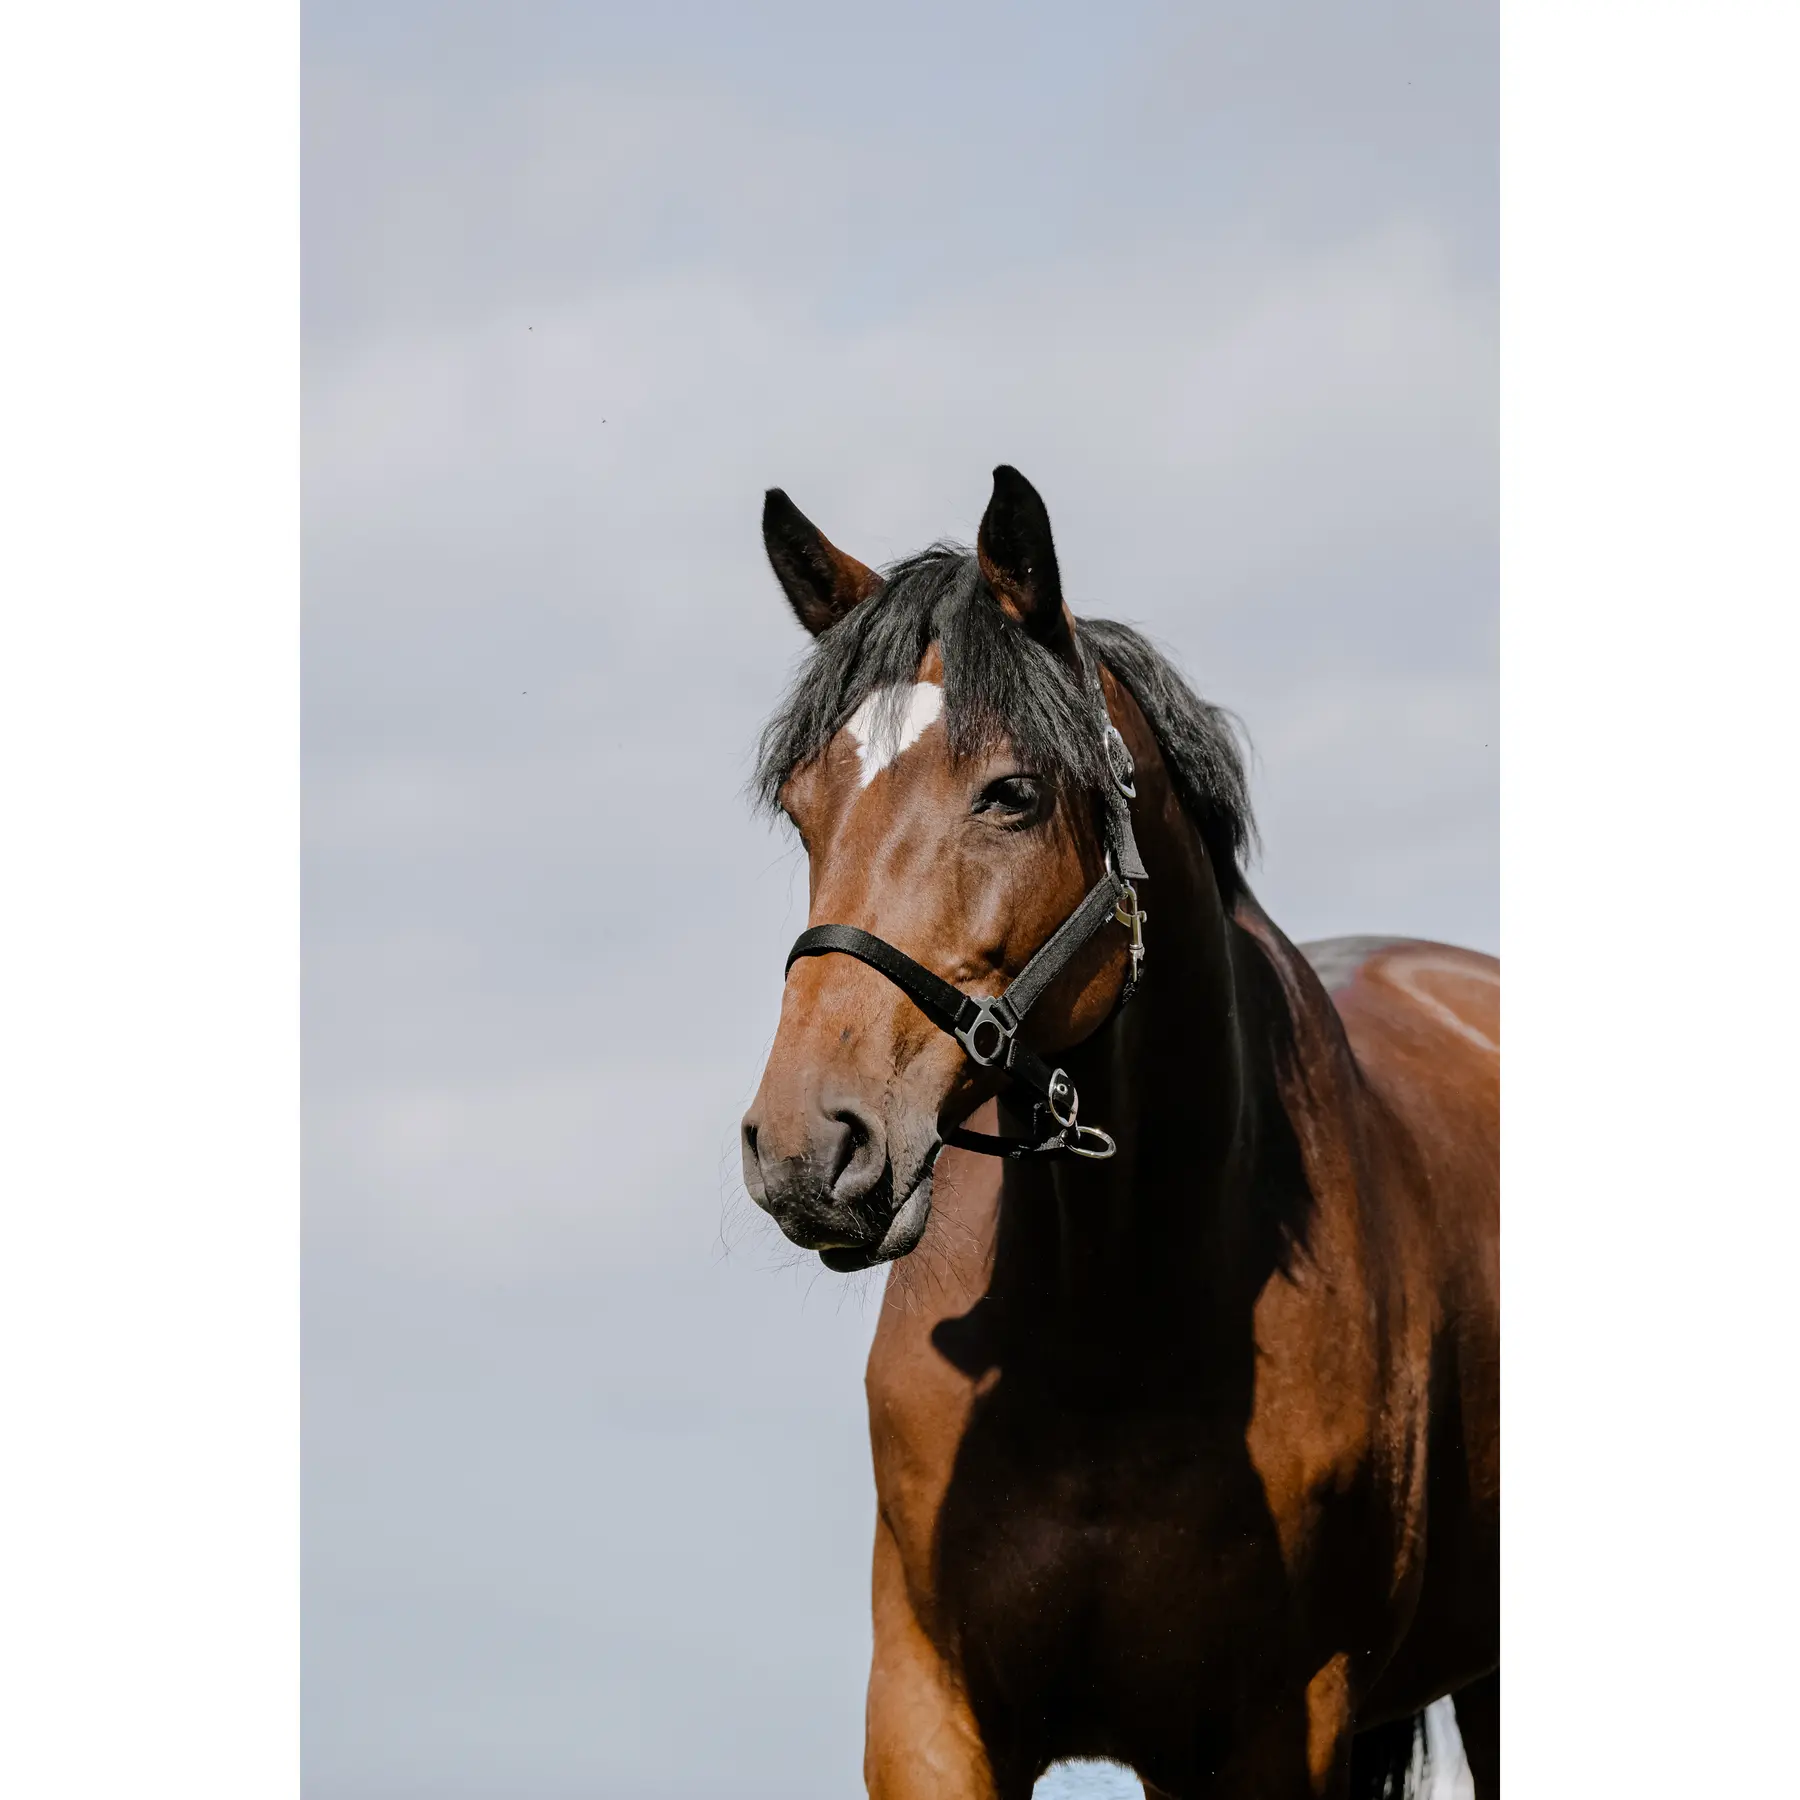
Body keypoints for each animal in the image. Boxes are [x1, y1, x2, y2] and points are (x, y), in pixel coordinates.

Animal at [739, 467, 1498, 1799]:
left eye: (1012, 793)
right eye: (802, 806)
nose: (807, 1149)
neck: (1110, 1333)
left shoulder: (1272, 1730)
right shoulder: (929, 1714)